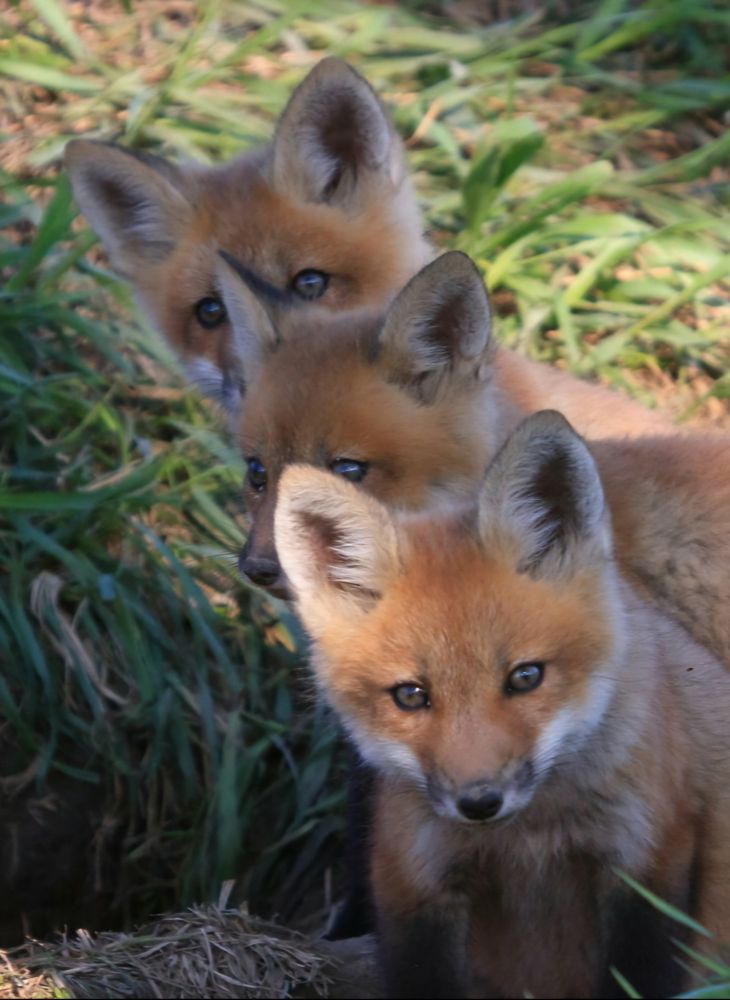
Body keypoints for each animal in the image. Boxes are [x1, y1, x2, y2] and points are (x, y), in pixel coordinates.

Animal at [274, 409, 730, 1000]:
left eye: (525, 677)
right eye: (410, 695)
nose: (480, 801)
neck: (529, 839)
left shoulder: (650, 860)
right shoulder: (412, 882)